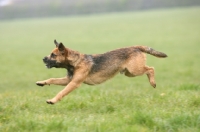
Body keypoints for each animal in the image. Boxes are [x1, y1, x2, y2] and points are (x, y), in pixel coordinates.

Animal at [35, 39, 167, 104]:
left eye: (53, 55)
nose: (43, 58)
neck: (75, 62)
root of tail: (135, 47)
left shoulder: (74, 83)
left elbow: (61, 92)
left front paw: (52, 100)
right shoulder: (68, 80)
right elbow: (52, 79)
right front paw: (41, 82)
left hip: (134, 70)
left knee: (151, 69)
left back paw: (153, 83)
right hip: (128, 72)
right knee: (148, 69)